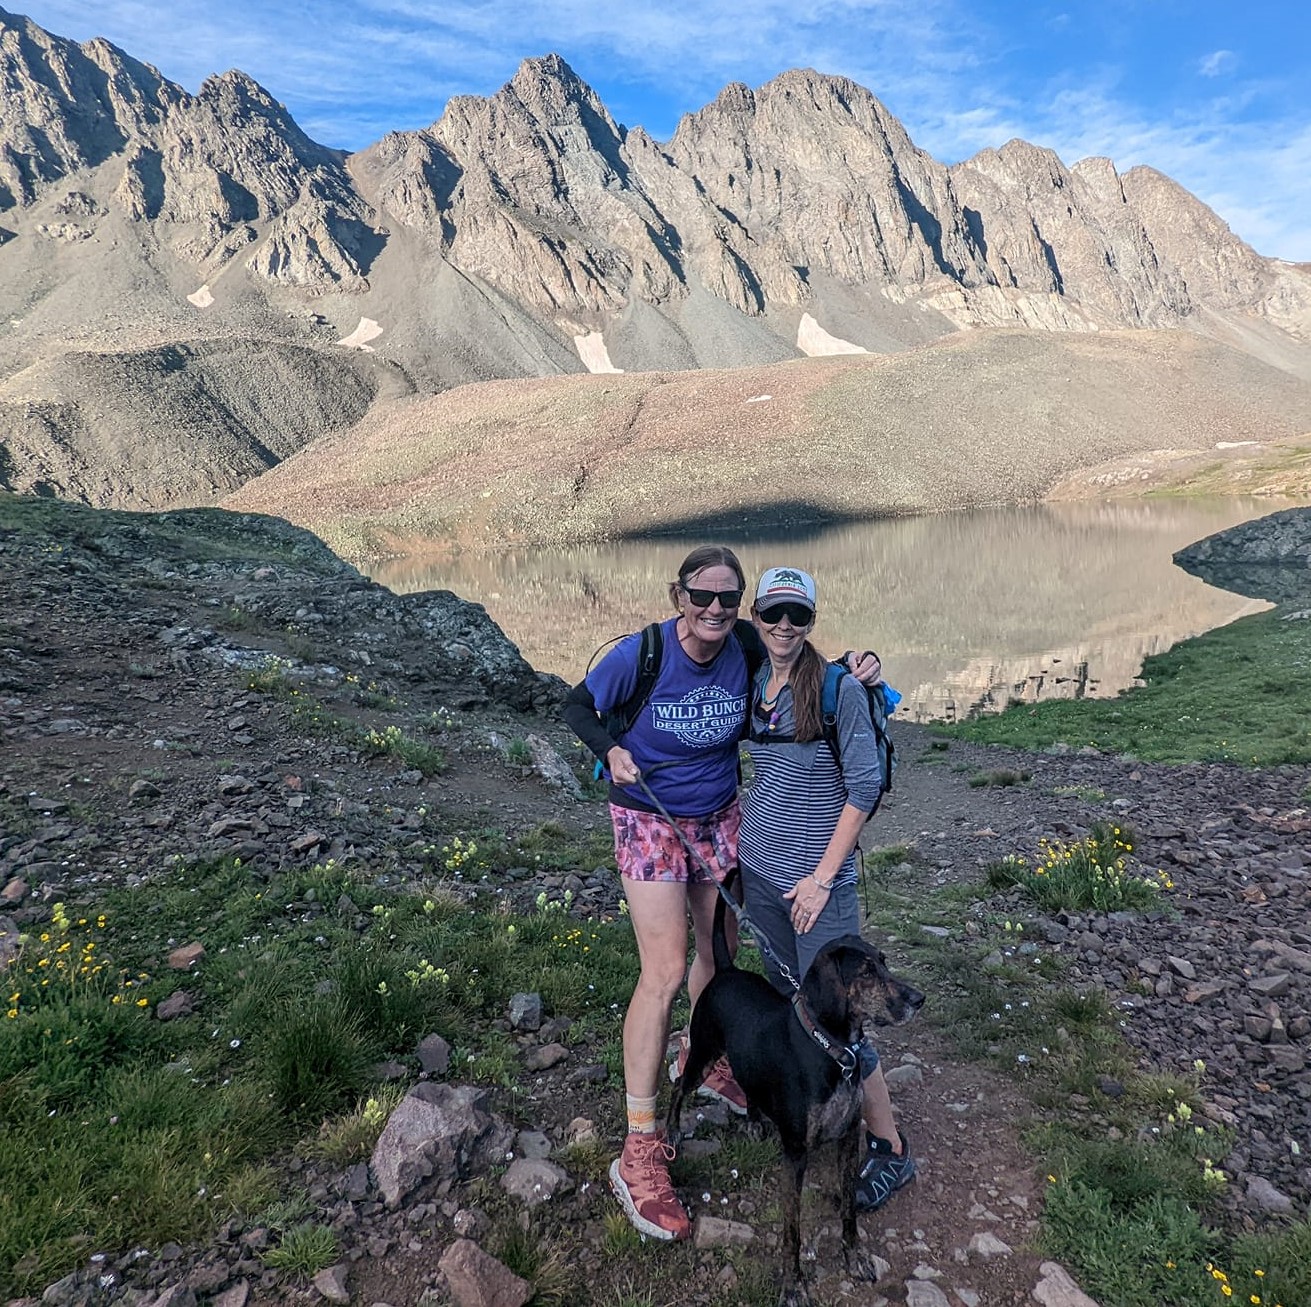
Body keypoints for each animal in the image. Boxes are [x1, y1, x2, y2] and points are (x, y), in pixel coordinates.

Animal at [665, 880, 922, 1300]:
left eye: (884, 962)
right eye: (866, 972)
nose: (918, 999)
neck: (831, 1049)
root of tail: (727, 970)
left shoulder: (848, 1139)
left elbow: (848, 1208)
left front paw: (855, 1256)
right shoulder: (796, 1154)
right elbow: (792, 1229)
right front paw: (792, 1284)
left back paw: (754, 1121)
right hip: (702, 1054)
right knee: (677, 1087)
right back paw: (671, 1129)